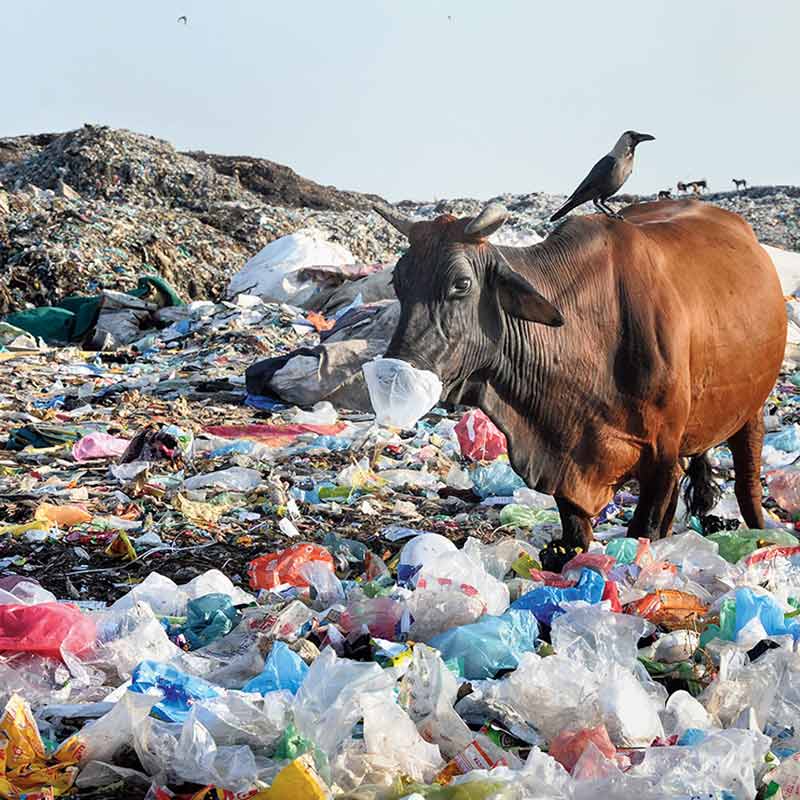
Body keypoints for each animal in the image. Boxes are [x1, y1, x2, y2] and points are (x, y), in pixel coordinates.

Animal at [374, 199, 787, 548]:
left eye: (461, 284)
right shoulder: (565, 455)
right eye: (398, 281)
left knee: (747, 487)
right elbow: (576, 532)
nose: (394, 370)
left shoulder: (661, 457)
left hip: (751, 410)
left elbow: (644, 529)